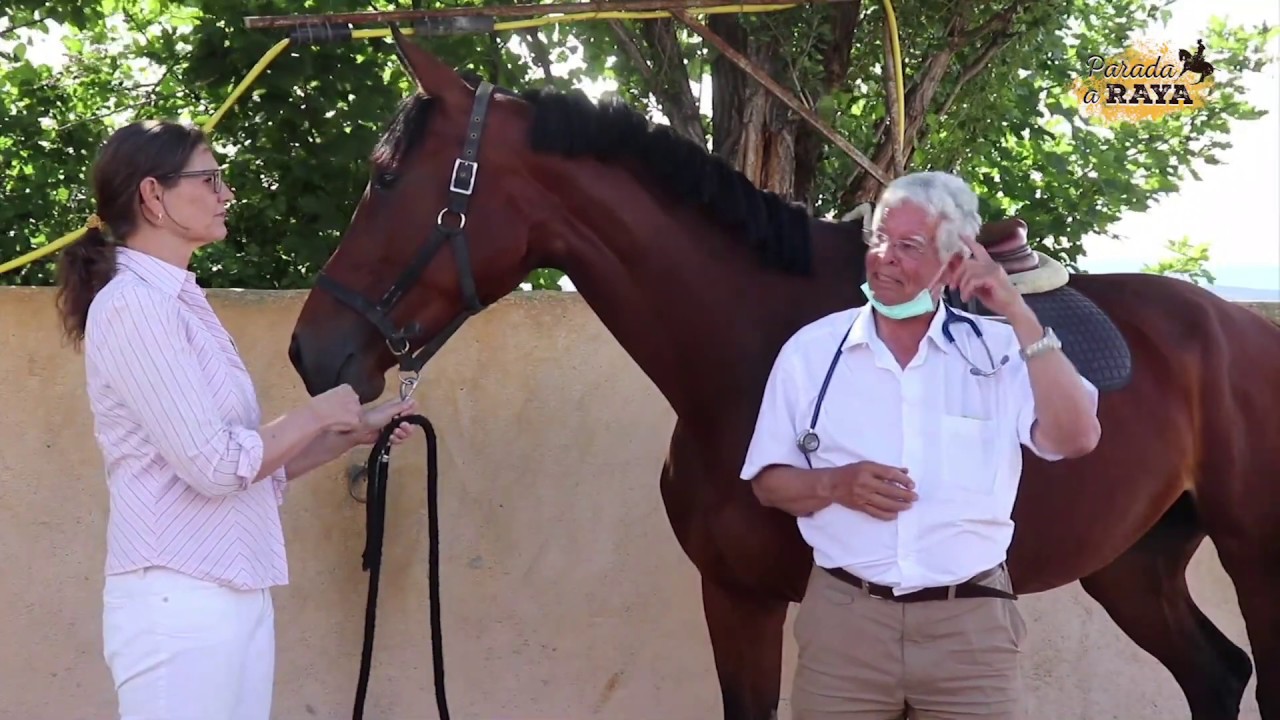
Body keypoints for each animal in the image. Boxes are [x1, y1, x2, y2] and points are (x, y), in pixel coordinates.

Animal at [287, 28, 1280, 720]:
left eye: (386, 178)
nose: (310, 351)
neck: (745, 348)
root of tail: (1239, 327)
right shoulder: (736, 597)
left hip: (1251, 555)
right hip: (1132, 563)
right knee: (1216, 673)